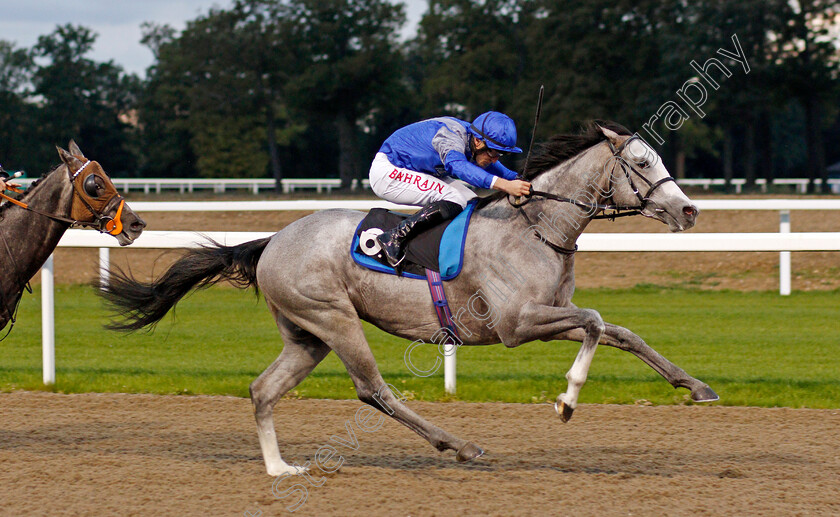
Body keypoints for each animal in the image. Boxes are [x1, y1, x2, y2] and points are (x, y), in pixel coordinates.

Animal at [98, 122, 716, 476]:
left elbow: (618, 330)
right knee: (373, 390)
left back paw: (280, 470)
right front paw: (566, 400)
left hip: (306, 335)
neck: (536, 226)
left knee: (262, 389)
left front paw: (695, 386)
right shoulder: (516, 324)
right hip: (335, 320)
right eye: (642, 163)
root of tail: (271, 240)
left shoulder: (544, 315)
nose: (689, 210)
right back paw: (459, 445)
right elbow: (594, 321)